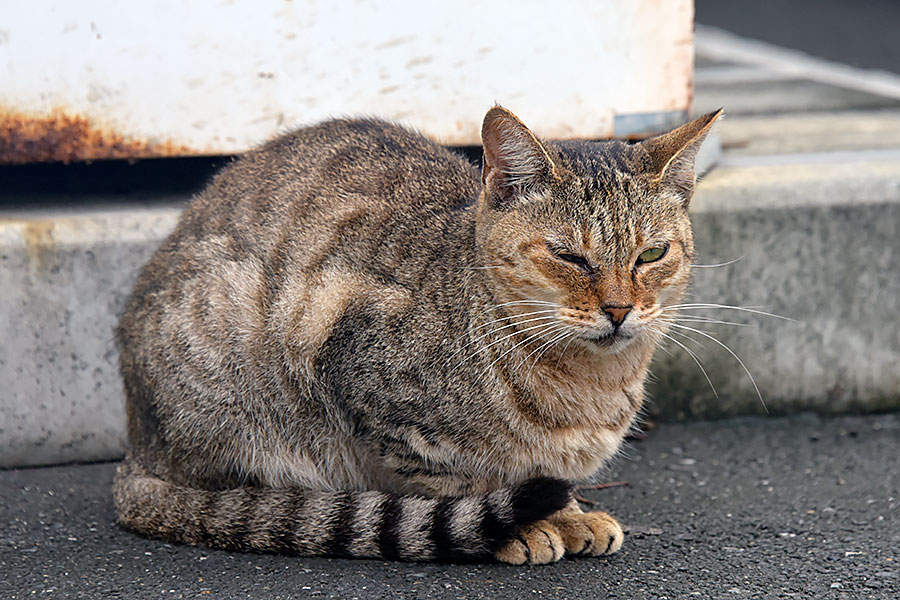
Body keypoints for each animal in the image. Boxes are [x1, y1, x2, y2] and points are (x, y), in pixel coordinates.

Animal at [112, 104, 720, 564]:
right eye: (568, 256)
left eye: (652, 254)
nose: (619, 310)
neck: (588, 384)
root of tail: (134, 456)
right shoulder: (343, 349)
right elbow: (454, 479)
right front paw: (521, 526)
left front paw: (569, 515)